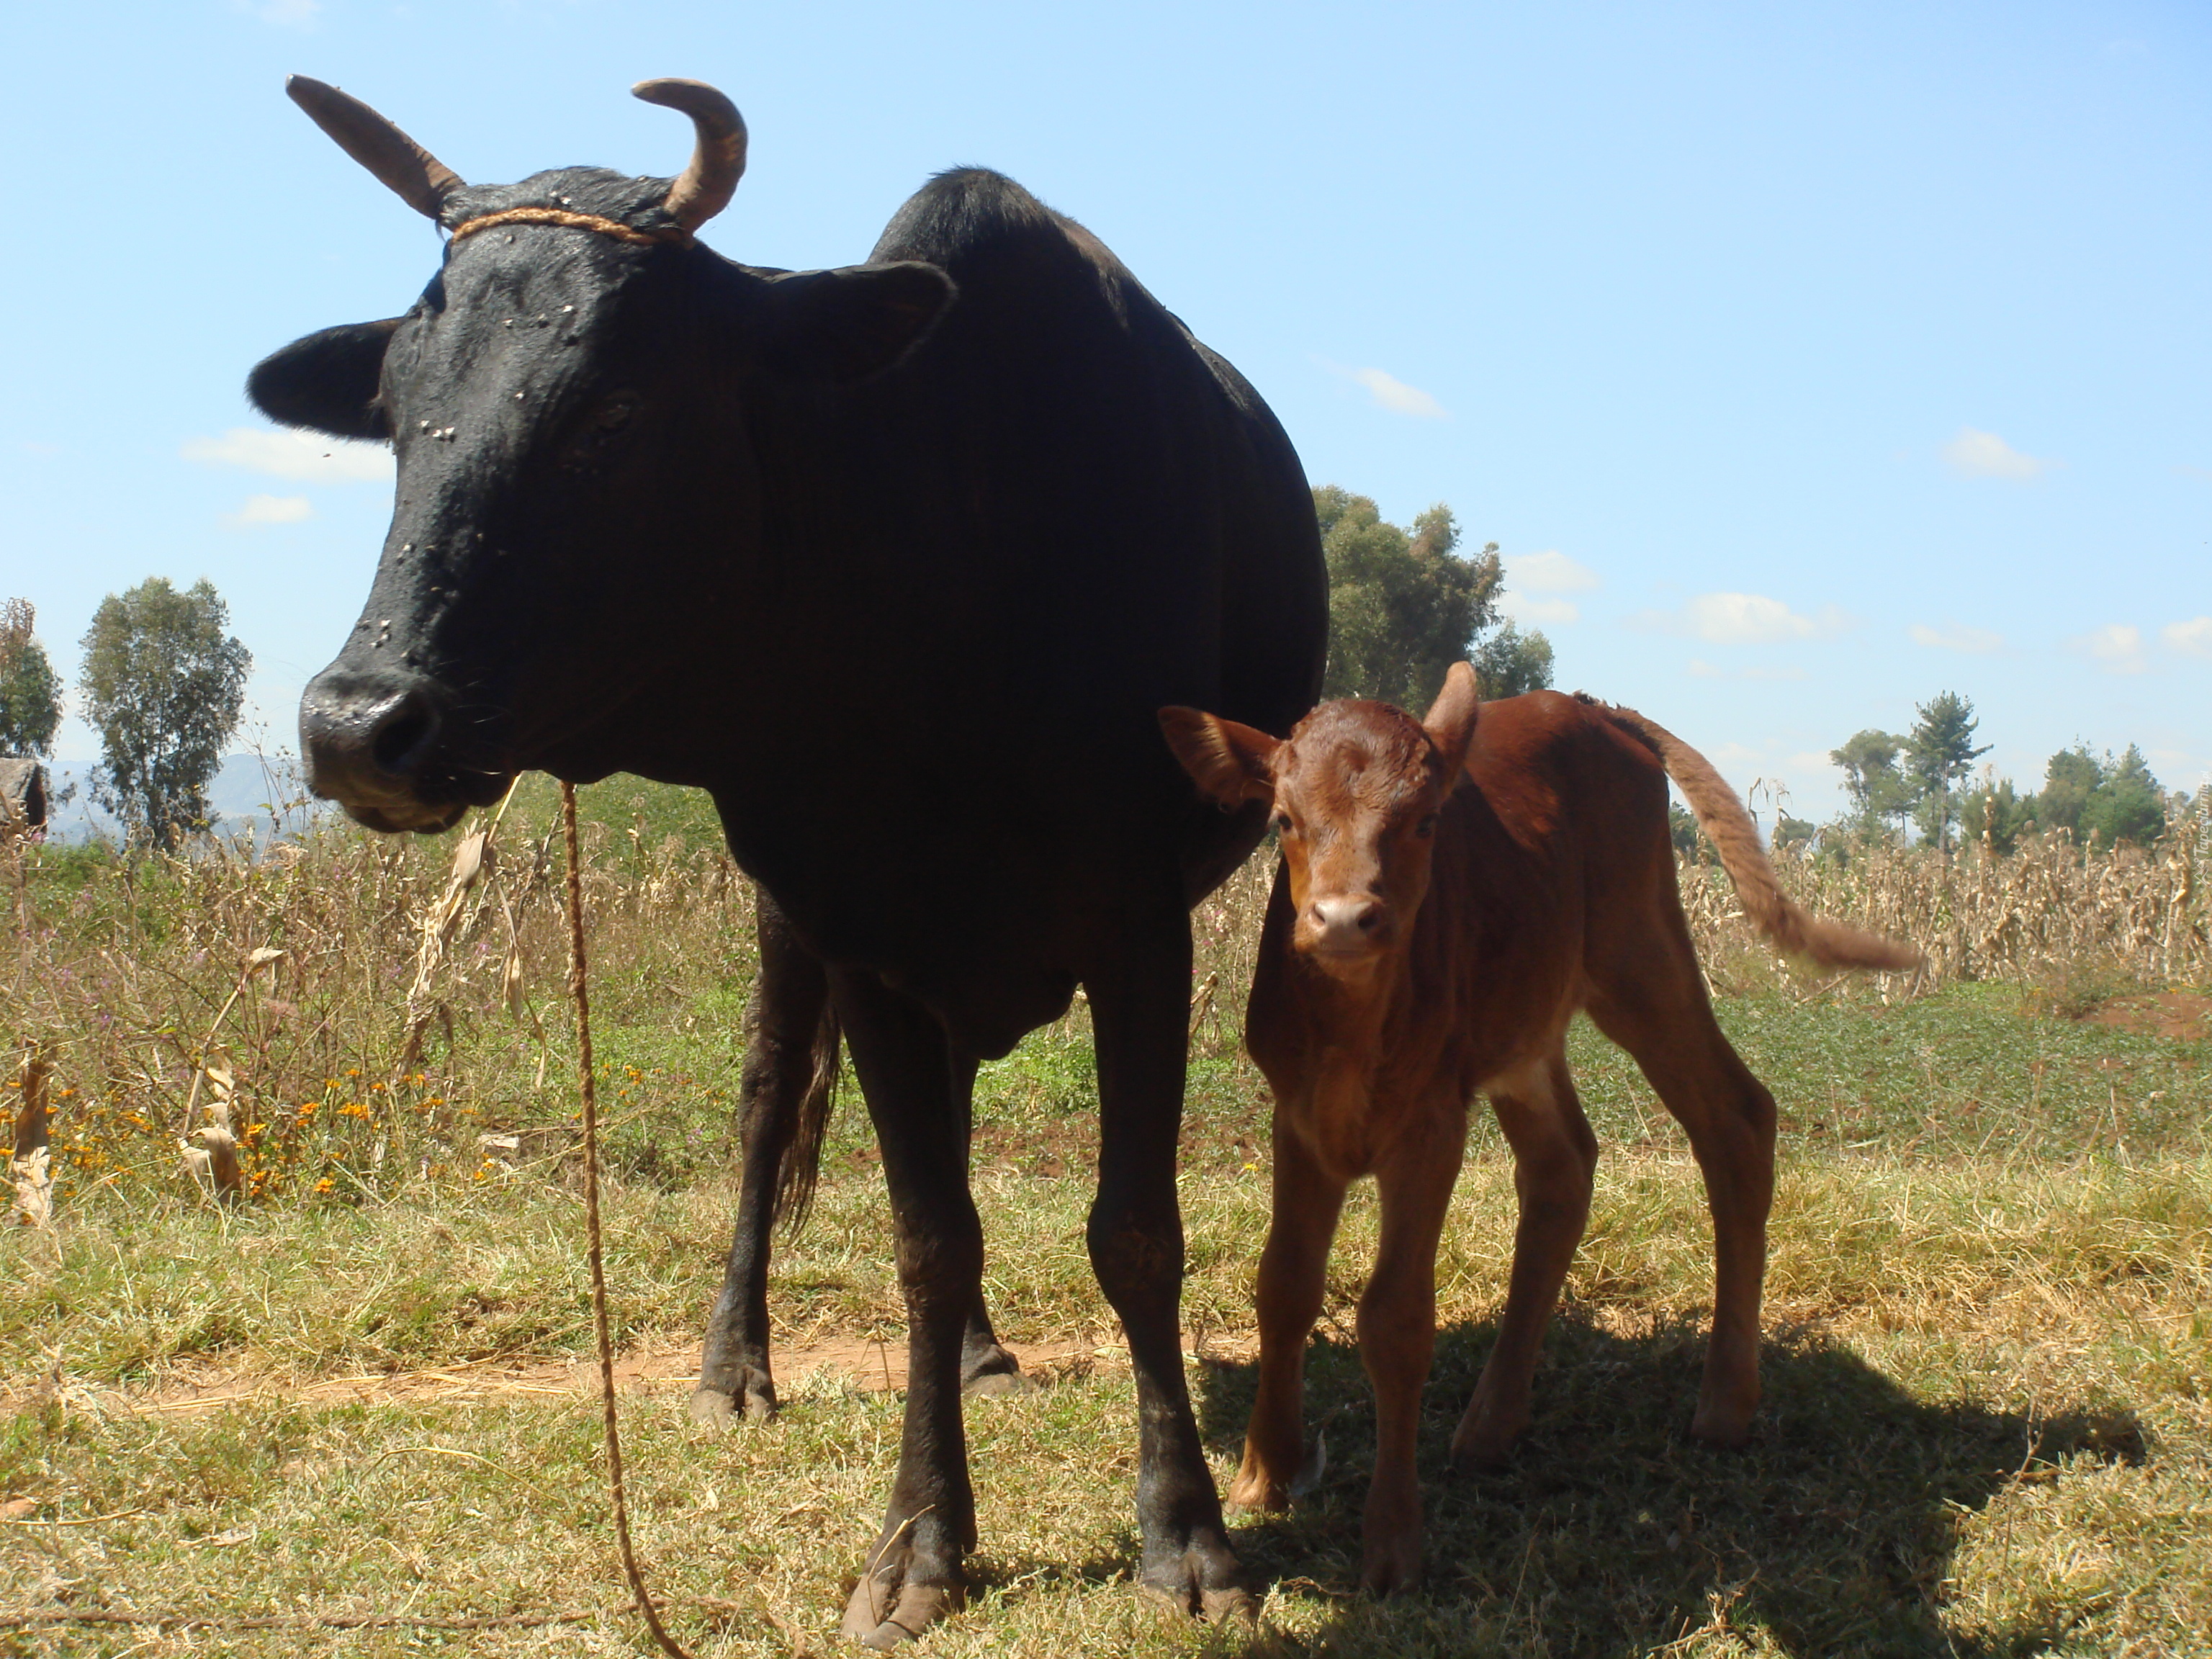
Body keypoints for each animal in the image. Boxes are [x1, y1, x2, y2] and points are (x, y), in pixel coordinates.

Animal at [258, 81, 1327, 1654]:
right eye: (395, 411)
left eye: (616, 407)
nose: (360, 724)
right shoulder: (858, 932)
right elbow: (926, 1237)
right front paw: (921, 1540)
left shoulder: (1139, 928)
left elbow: (1131, 1228)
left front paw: (1185, 1532)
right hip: (795, 931)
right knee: (772, 1109)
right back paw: (736, 1364)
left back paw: (990, 1353)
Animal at [1159, 663, 1920, 1601]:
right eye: (1284, 821)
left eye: (1425, 820)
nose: (1342, 918)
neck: (1352, 1030)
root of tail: (1596, 709)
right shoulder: (1297, 1117)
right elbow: (1284, 1286)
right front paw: (1264, 1474)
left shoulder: (1431, 1123)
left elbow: (1396, 1320)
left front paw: (1392, 1543)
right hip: (1530, 1029)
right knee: (1564, 1165)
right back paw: (1493, 1423)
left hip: (1639, 952)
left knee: (1736, 1117)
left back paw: (1725, 1404)